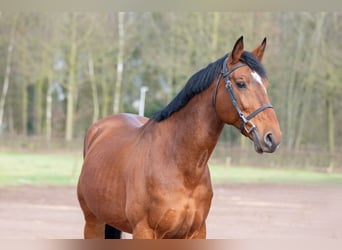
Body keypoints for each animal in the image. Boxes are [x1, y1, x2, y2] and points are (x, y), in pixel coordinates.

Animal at [79, 36, 282, 239]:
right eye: (241, 83)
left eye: (266, 85)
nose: (272, 137)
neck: (180, 165)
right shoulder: (144, 231)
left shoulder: (196, 232)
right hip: (93, 222)